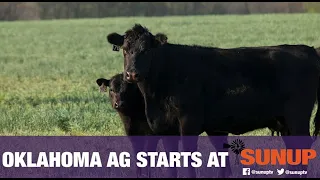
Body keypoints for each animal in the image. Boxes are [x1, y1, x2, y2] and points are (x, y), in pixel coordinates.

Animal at [106, 23, 320, 177]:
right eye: (125, 49)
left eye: (147, 51)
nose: (132, 74)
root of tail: (308, 49)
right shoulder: (165, 127)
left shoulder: (189, 123)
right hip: (285, 122)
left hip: (298, 116)